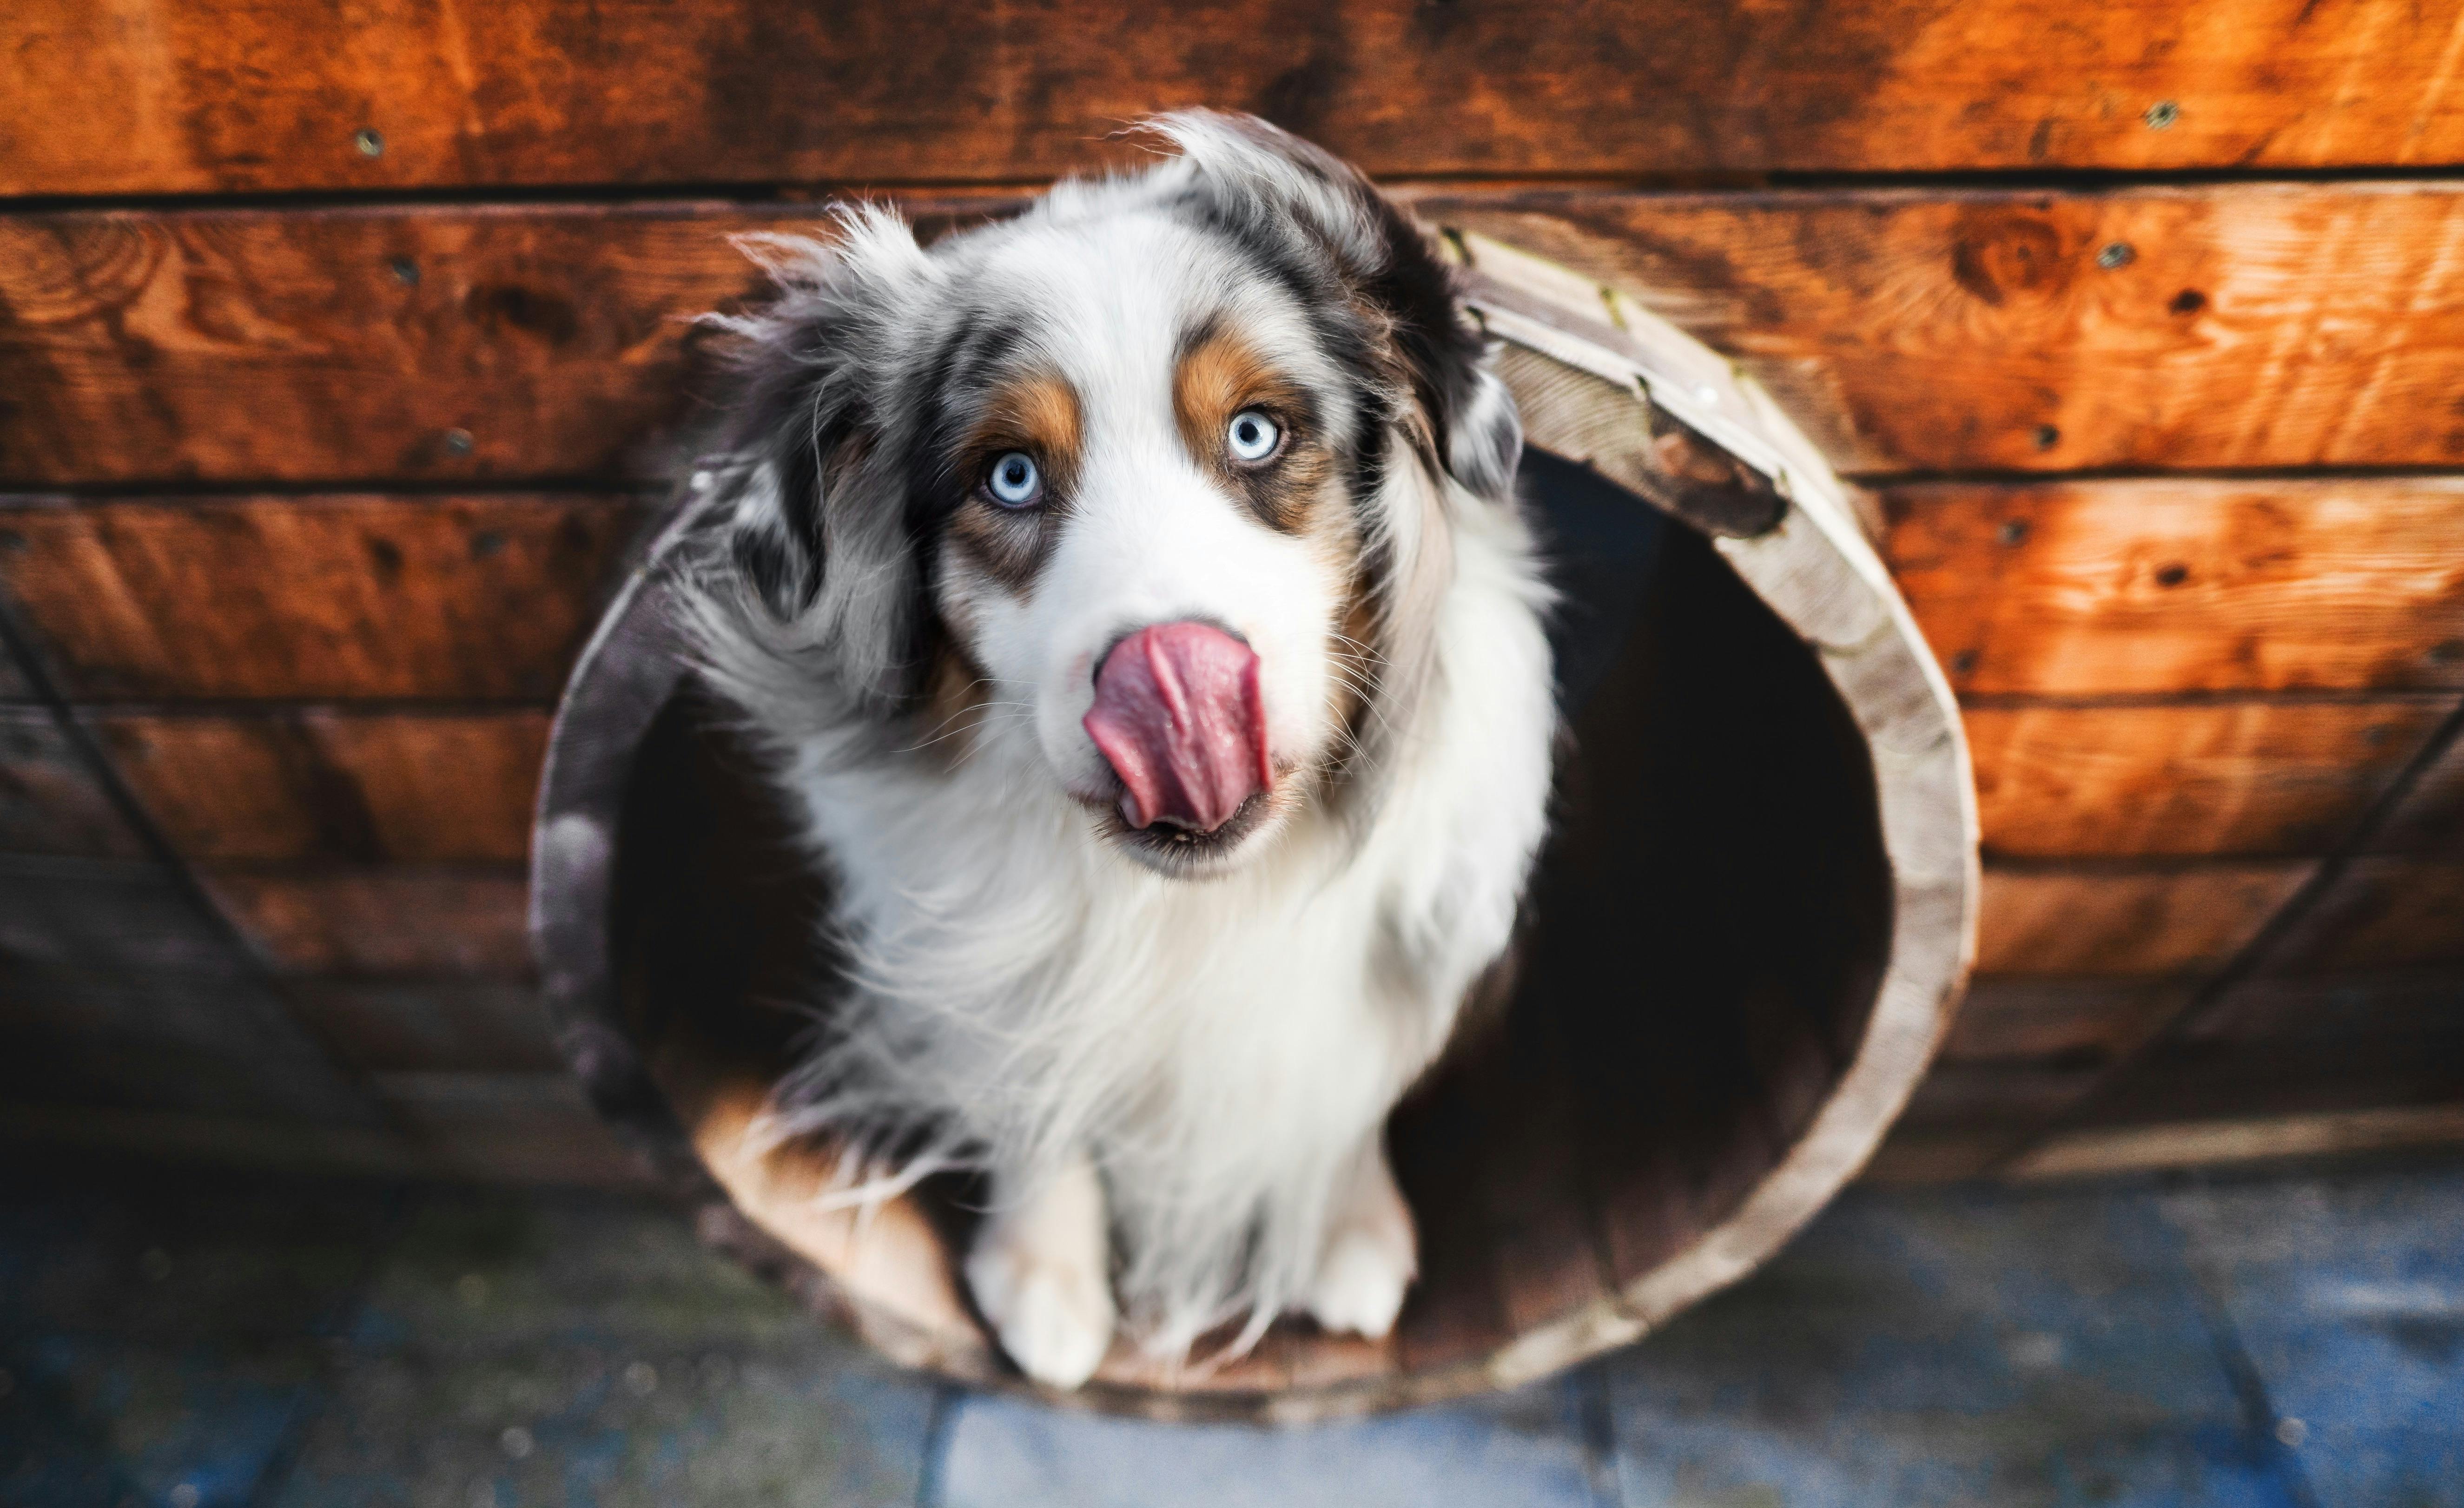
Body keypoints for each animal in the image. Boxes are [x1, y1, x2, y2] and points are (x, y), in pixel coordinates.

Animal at [675, 112, 1547, 1389]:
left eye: (1254, 432)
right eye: (1011, 475)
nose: (1173, 681)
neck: (1184, 902)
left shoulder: (1432, 912)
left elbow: (1354, 1072)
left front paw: (1346, 1228)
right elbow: (1031, 1073)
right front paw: (1045, 1274)